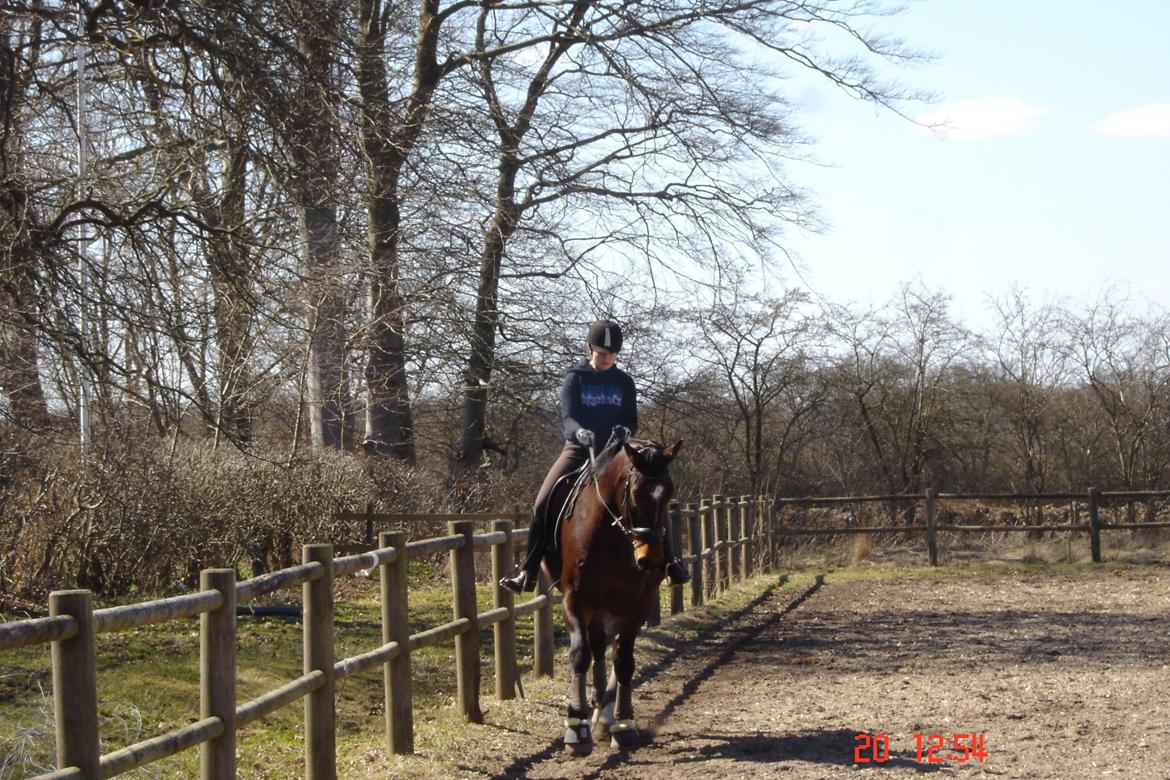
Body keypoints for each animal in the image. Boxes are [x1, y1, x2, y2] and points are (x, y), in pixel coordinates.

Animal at [542, 437, 683, 753]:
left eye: (669, 491)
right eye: (635, 493)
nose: (650, 559)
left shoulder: (637, 606)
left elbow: (624, 660)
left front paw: (624, 724)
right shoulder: (574, 600)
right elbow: (580, 655)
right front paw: (576, 726)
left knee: (610, 650)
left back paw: (605, 715)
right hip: (595, 607)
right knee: (595, 648)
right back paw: (595, 710)